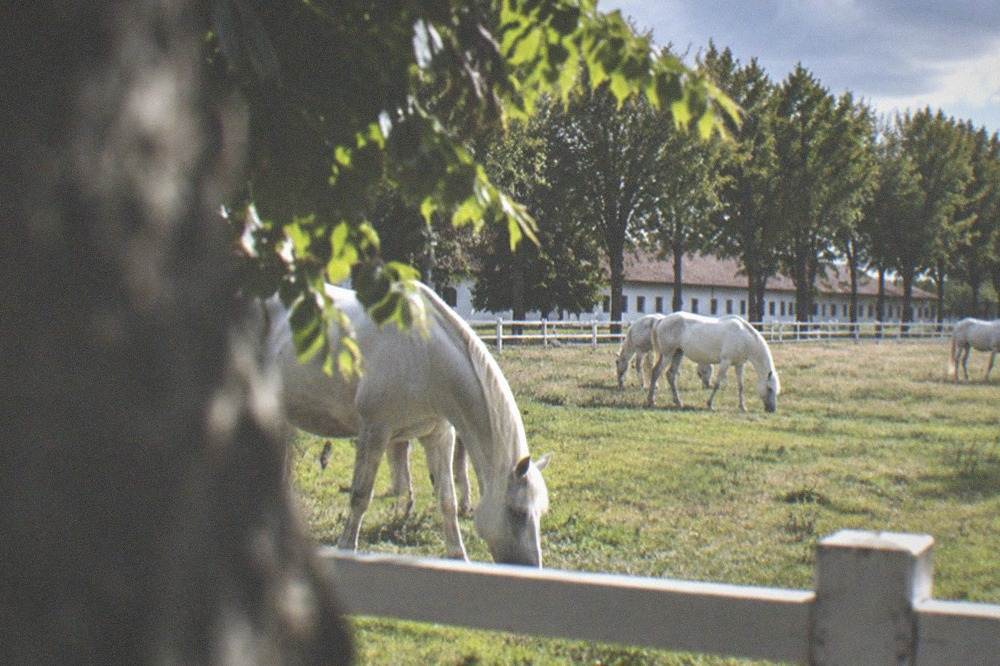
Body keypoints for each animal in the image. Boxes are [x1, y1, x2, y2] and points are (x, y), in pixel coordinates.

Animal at [265, 282, 550, 566]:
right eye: (516, 512)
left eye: (540, 512)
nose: (531, 568)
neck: (424, 354)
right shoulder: (374, 433)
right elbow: (360, 496)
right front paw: (346, 547)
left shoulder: (438, 436)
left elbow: (447, 500)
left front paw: (458, 555)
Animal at [645, 312, 780, 412]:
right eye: (769, 389)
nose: (772, 409)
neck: (744, 337)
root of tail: (662, 320)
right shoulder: (725, 362)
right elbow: (717, 384)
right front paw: (710, 404)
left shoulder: (739, 365)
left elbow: (741, 386)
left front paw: (742, 407)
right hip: (668, 354)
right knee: (656, 372)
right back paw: (651, 401)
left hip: (678, 353)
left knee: (671, 375)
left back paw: (678, 402)